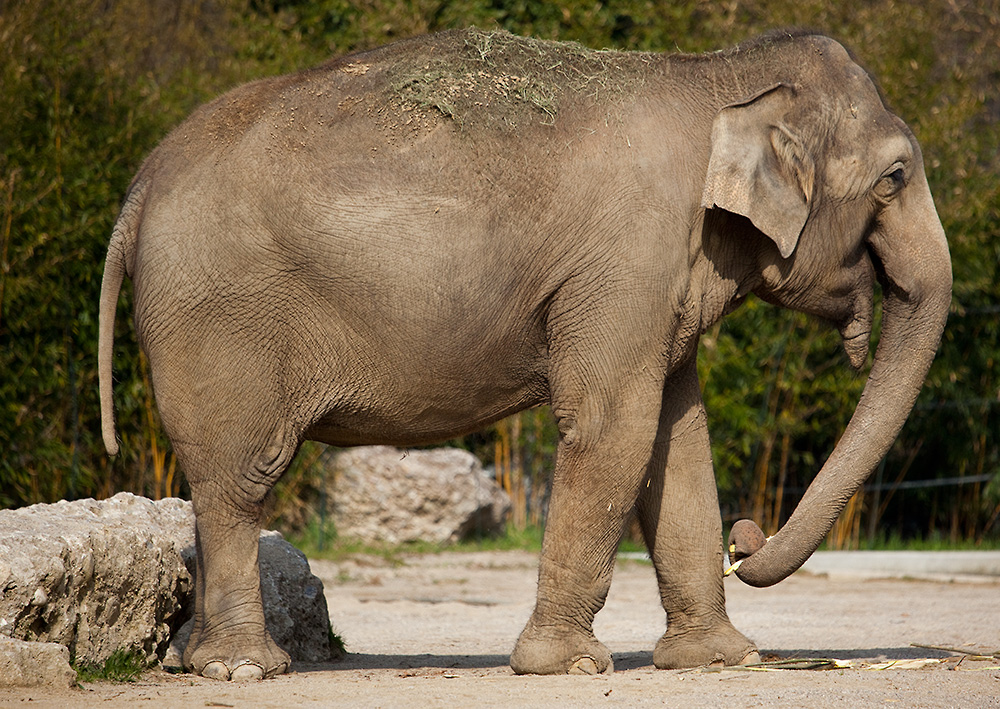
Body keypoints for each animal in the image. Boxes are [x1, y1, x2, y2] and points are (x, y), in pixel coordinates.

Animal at [97, 29, 948, 680]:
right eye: (895, 176)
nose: (747, 539)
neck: (720, 78)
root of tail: (139, 185)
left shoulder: (658, 284)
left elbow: (677, 439)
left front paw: (720, 659)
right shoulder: (626, 263)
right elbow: (614, 429)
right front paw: (568, 666)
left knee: (218, 482)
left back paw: (198, 662)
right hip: (220, 316)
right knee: (239, 478)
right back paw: (243, 668)